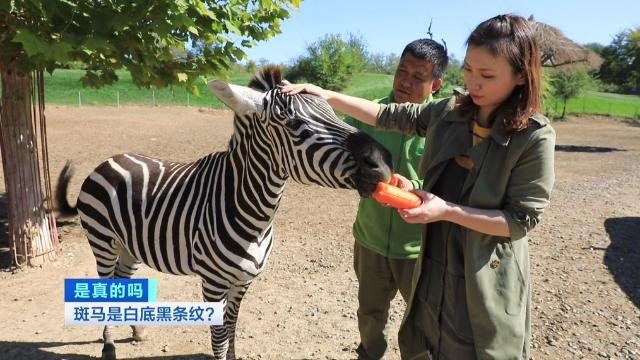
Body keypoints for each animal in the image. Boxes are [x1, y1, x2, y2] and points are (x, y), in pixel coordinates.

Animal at [57, 66, 392, 358]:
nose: (383, 163)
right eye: (293, 124)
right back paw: (108, 347)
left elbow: (232, 326)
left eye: (334, 112)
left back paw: (137, 332)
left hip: (131, 246)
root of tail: (109, 160)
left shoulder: (243, 281)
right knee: (107, 286)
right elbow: (218, 337)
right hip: (103, 241)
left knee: (123, 282)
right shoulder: (213, 281)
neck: (254, 213)